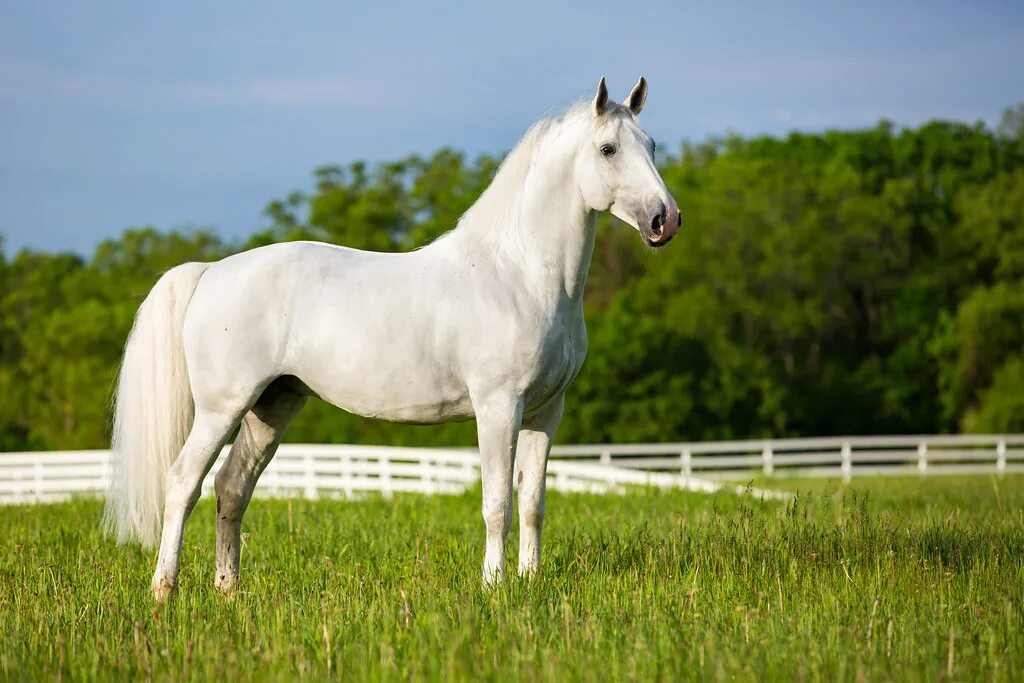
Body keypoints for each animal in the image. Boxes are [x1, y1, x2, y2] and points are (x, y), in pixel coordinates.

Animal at [103, 77, 679, 602]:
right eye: (608, 149)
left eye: (651, 145)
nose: (665, 219)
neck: (519, 272)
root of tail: (211, 272)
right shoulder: (499, 406)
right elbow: (497, 503)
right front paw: (494, 588)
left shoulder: (546, 410)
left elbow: (533, 501)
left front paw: (530, 582)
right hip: (222, 408)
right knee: (184, 483)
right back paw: (164, 590)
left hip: (273, 406)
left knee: (231, 489)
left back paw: (229, 591)